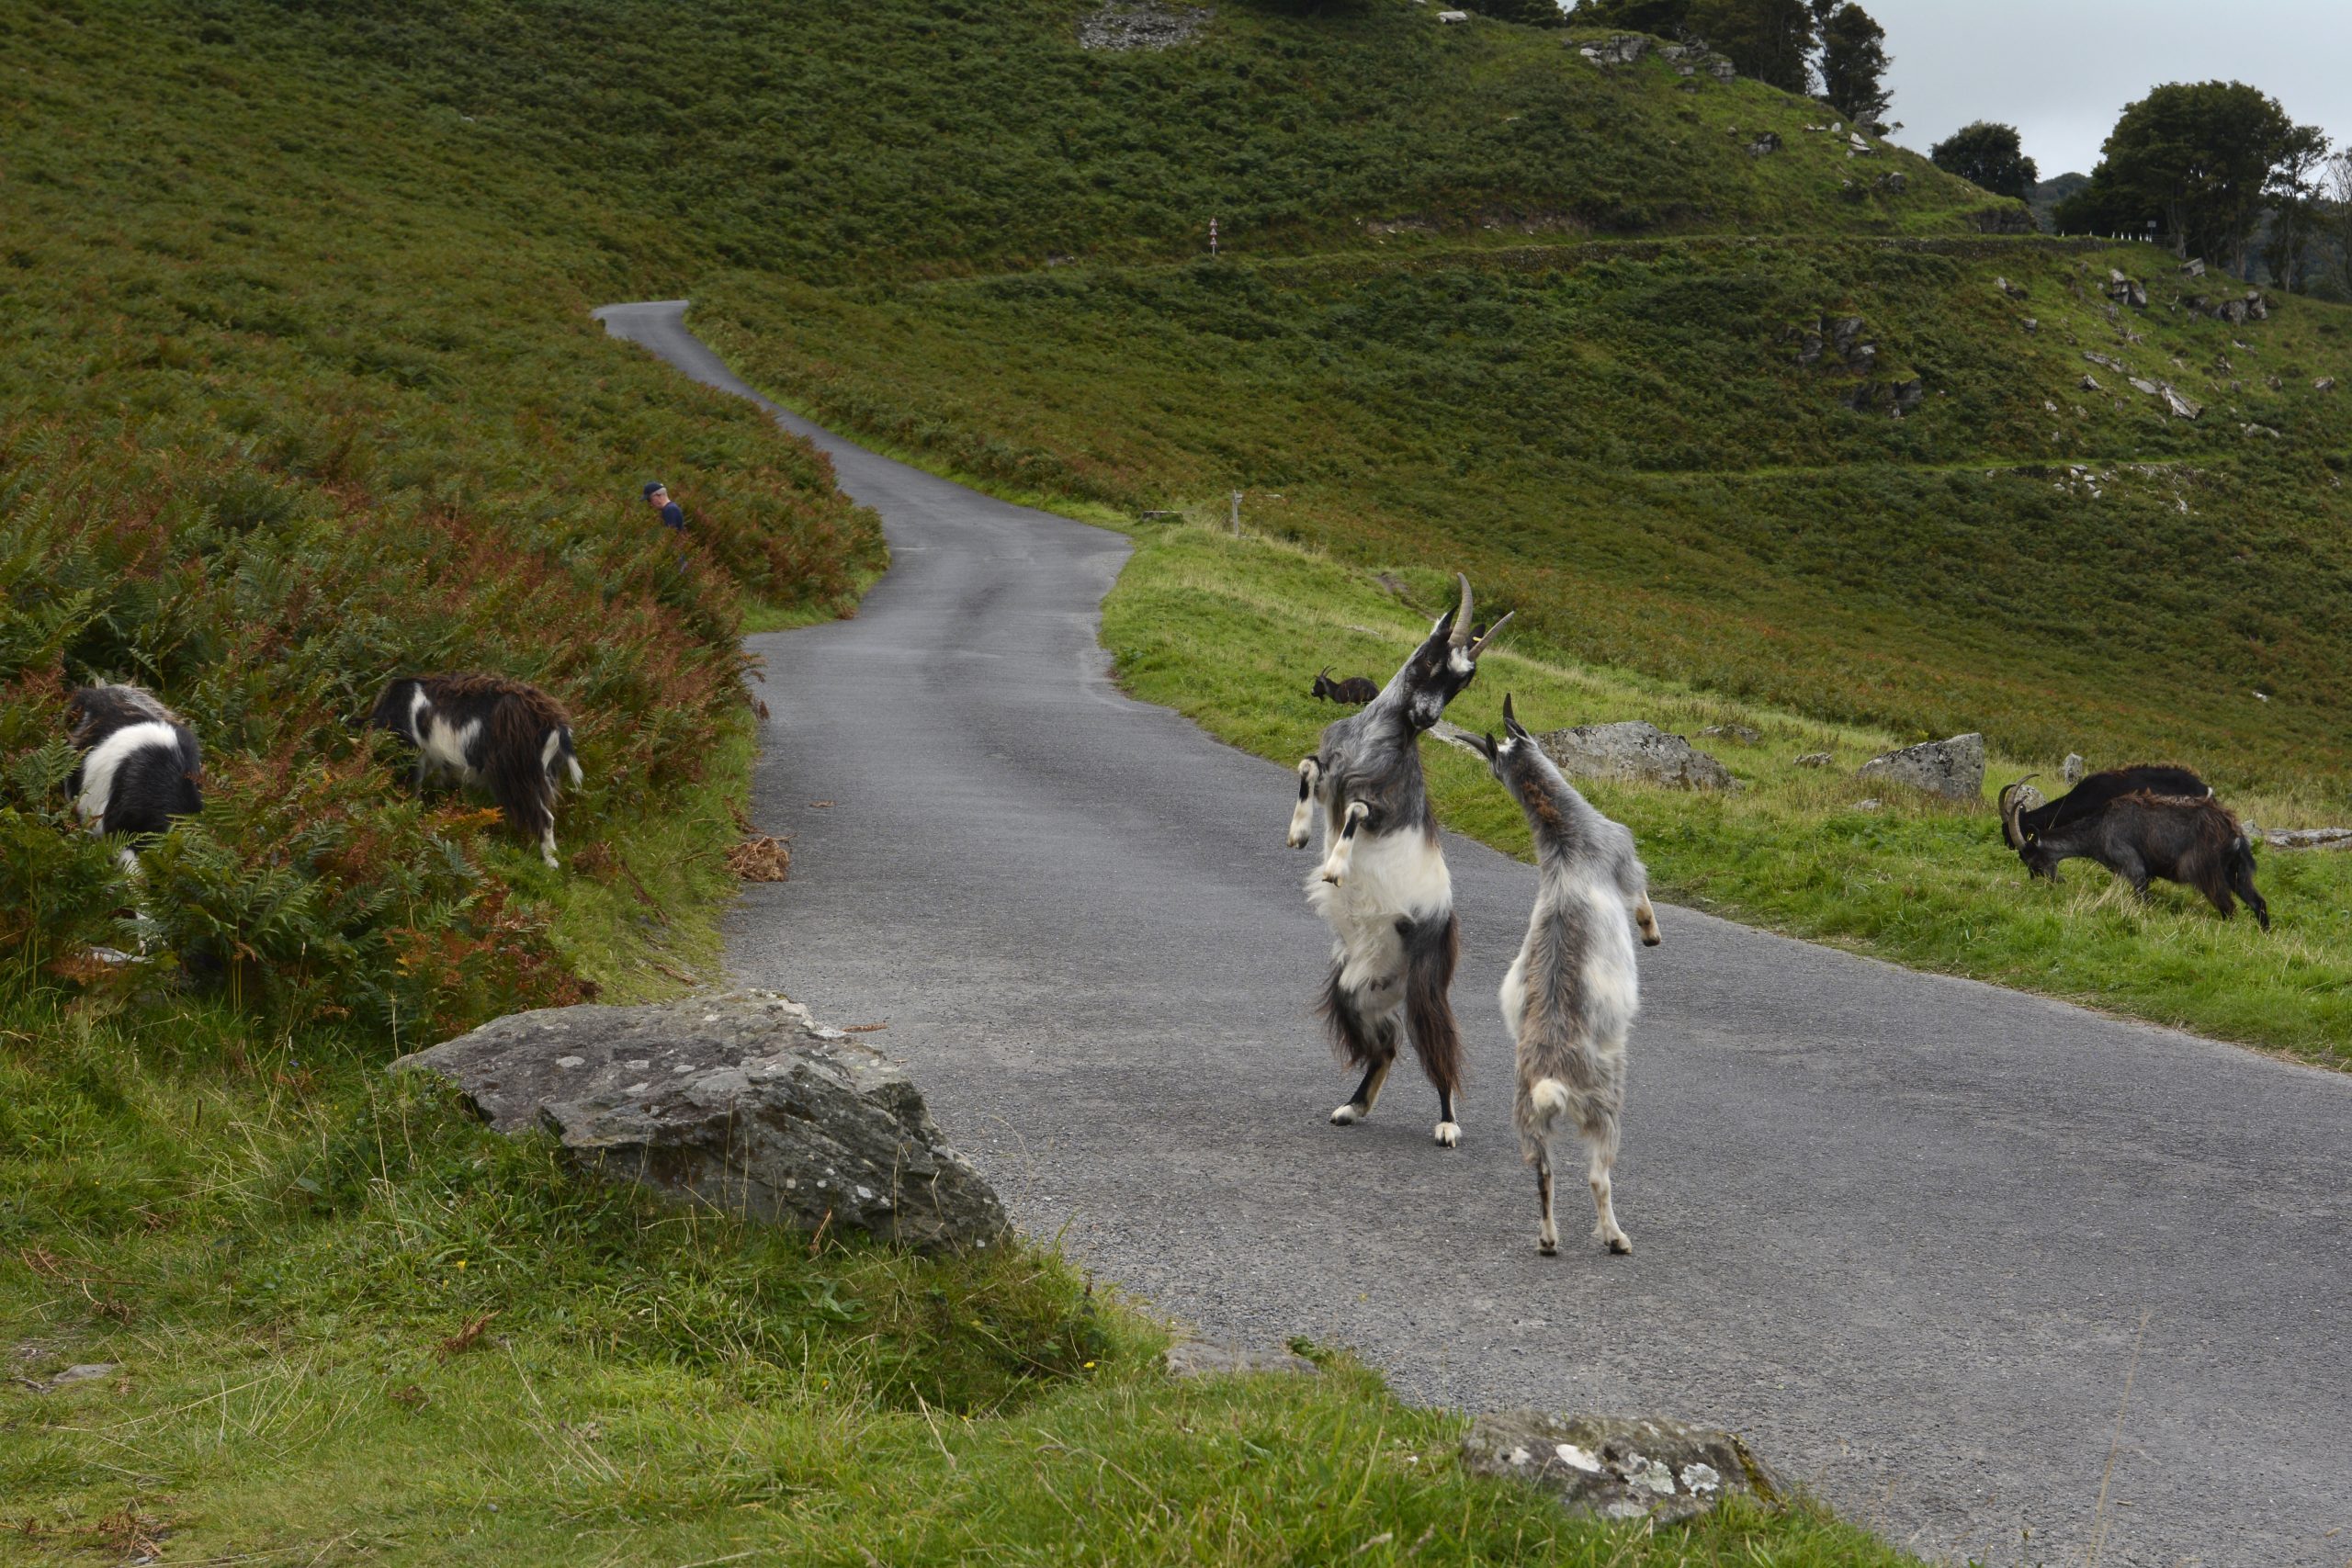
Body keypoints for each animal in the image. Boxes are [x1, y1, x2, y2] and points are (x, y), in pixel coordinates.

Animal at [371, 677, 588, 869]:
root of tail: (556, 726)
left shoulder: (412, 758)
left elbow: (412, 796)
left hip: (518, 775)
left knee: (544, 818)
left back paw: (551, 864)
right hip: (543, 773)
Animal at [1288, 570, 1505, 1146]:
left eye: (1465, 682)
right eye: (1432, 656)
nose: (1427, 718)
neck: (1373, 736)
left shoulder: (1381, 803)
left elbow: (1357, 810)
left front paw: (1335, 869)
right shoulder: (1329, 773)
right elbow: (1307, 768)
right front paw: (1299, 835)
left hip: (1427, 985)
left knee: (1438, 1048)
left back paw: (1447, 1126)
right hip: (1354, 990)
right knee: (1386, 1046)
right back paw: (1352, 1108)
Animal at [1467, 691, 1656, 1259]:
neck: (1567, 844)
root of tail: (1552, 1077)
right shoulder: (1622, 854)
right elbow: (1640, 894)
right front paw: (1651, 932)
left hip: (1526, 1119)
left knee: (1543, 1173)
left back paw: (1549, 1239)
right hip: (1604, 1102)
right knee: (1598, 1175)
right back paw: (1616, 1238)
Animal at [1994, 775, 2267, 931]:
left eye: (2033, 862)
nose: (2046, 883)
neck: (2101, 828)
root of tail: (2233, 832)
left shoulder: (2135, 869)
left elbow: (2143, 902)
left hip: (2206, 872)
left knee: (2229, 908)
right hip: (2236, 872)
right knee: (2257, 902)